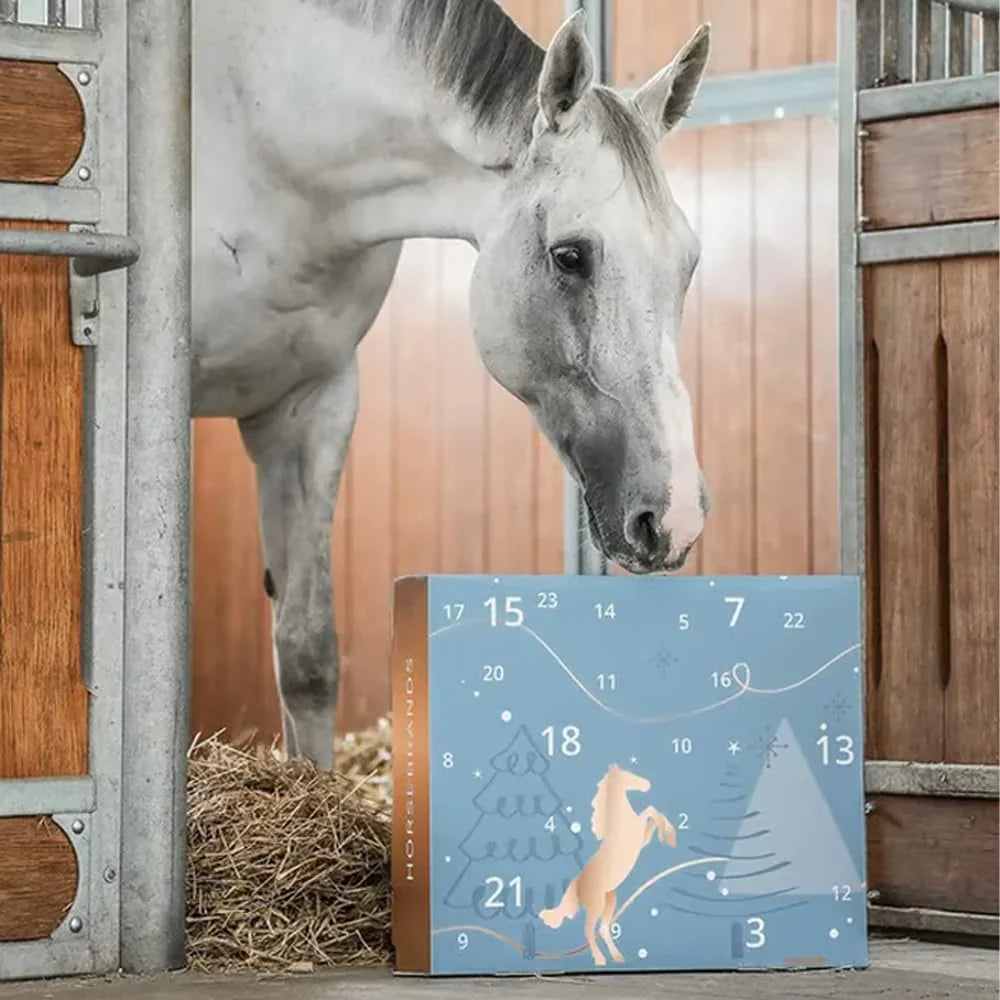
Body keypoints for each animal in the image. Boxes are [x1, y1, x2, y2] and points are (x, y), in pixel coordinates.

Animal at [191, 0, 713, 768]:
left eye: (688, 264)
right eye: (569, 255)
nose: (676, 518)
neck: (263, 141)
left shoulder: (310, 404)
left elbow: (306, 652)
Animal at [539, 763, 675, 966]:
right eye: (628, 775)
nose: (647, 784)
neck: (620, 820)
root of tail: (577, 884)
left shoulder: (642, 839)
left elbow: (653, 816)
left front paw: (668, 834)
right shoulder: (637, 833)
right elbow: (649, 811)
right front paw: (669, 834)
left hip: (609, 901)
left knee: (603, 929)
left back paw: (618, 957)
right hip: (596, 905)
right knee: (589, 930)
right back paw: (600, 959)